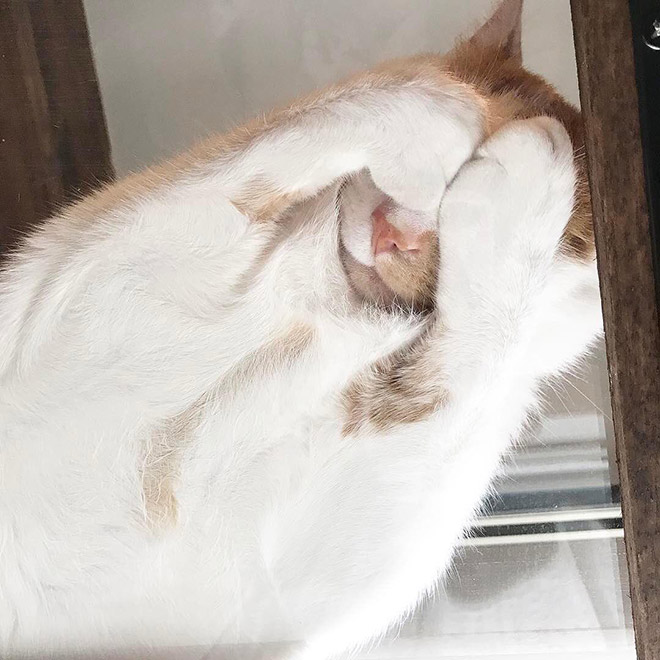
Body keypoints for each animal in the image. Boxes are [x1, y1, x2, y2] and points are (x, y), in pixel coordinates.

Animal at [0, 1, 600, 660]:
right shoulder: (86, 293)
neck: (342, 315)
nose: (396, 231)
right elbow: (320, 123)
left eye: (571, 243)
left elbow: (470, 365)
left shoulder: (260, 608)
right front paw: (451, 111)